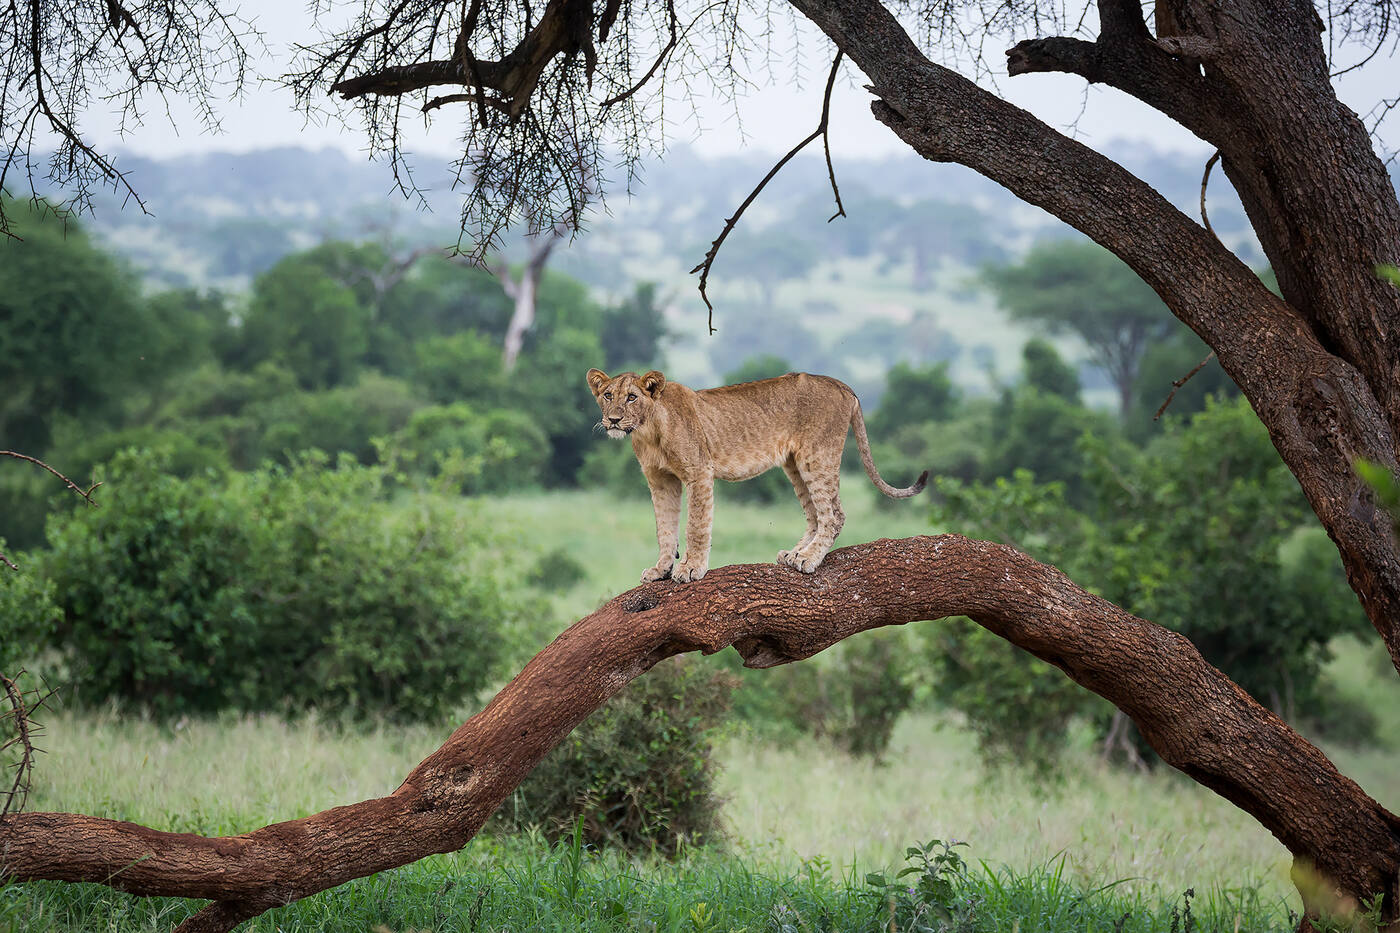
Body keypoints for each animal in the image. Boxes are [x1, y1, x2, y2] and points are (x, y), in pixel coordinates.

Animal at [586, 368, 928, 582]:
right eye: (607, 395)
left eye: (632, 396)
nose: (613, 420)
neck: (648, 430)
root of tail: (841, 385)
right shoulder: (660, 481)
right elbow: (665, 528)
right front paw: (661, 569)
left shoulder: (699, 473)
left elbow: (696, 525)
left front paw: (691, 568)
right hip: (794, 464)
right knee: (816, 514)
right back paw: (795, 553)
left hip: (817, 456)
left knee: (834, 515)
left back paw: (809, 559)